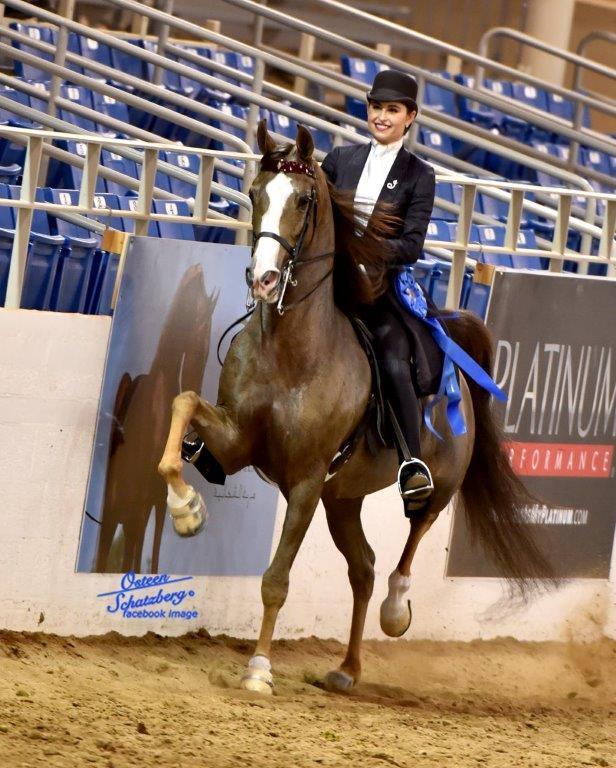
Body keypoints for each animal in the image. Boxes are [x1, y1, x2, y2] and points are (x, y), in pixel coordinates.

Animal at [158, 120, 552, 694]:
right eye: (255, 192)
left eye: (303, 199)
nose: (263, 280)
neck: (291, 352)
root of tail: (452, 351)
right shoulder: (236, 444)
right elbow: (185, 403)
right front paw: (187, 511)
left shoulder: (304, 480)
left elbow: (276, 579)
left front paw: (259, 669)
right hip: (342, 499)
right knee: (363, 568)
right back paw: (347, 668)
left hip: (437, 485)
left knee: (410, 540)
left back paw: (396, 610)